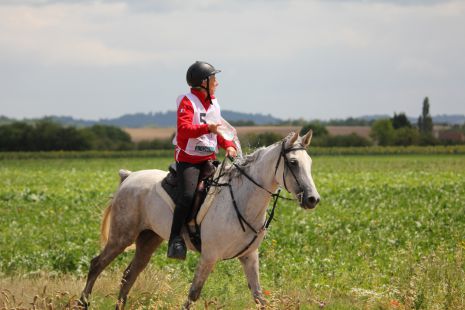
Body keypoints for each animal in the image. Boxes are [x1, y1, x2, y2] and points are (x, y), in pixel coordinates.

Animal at [79, 130, 320, 308]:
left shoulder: (249, 257)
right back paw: (83, 303)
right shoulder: (209, 256)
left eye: (309, 162)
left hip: (149, 239)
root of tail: (128, 177)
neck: (242, 198)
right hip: (122, 237)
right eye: (292, 162)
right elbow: (193, 295)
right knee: (96, 264)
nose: (312, 199)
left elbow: (259, 297)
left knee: (129, 275)